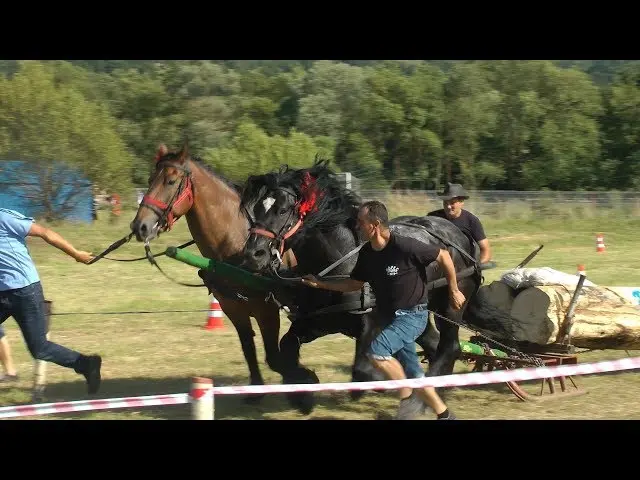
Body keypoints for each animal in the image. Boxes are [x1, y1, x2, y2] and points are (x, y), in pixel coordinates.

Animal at [130, 142, 284, 402]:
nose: (139, 226)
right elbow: (249, 348)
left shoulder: (267, 310)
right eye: (150, 179)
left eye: (171, 181)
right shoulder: (233, 308)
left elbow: (275, 356)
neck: (237, 240)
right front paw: (255, 390)